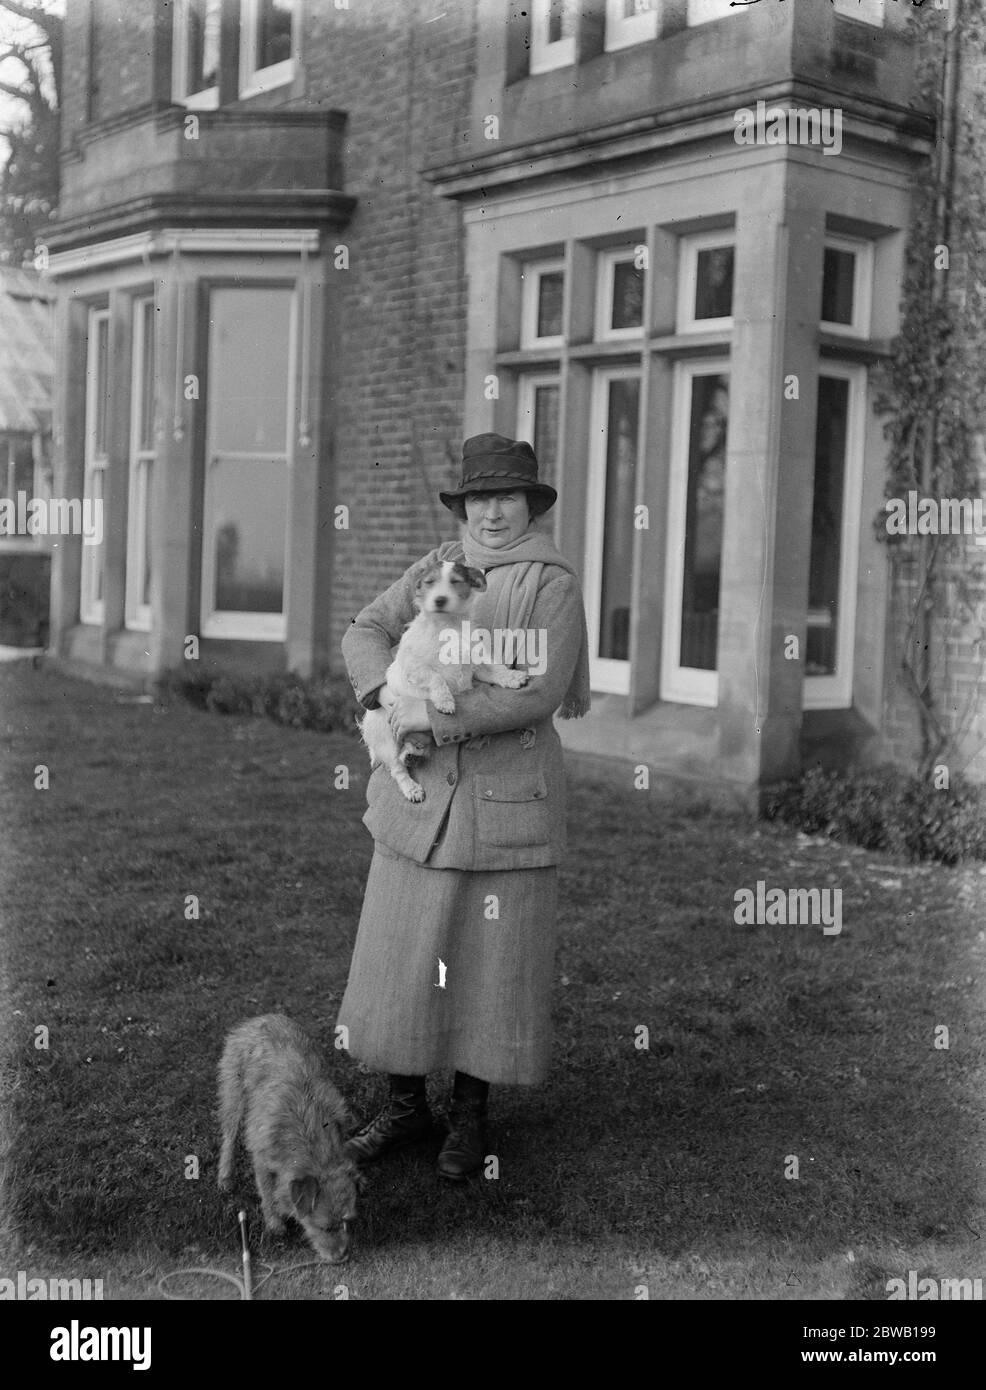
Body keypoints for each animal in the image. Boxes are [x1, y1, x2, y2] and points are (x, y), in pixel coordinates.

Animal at [216, 1017, 364, 1267]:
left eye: (348, 1221)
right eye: (324, 1227)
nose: (342, 1256)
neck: (308, 1135)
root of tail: (259, 1019)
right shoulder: (262, 1160)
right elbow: (267, 1192)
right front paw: (274, 1222)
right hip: (234, 1095)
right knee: (229, 1136)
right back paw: (226, 1176)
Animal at [358, 556, 525, 806]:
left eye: (455, 581)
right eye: (429, 582)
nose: (440, 599)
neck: (447, 626)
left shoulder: (476, 664)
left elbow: (496, 670)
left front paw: (513, 677)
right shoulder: (416, 667)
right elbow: (436, 677)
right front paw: (445, 701)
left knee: (409, 751)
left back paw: (412, 753)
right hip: (387, 738)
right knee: (397, 769)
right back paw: (412, 788)